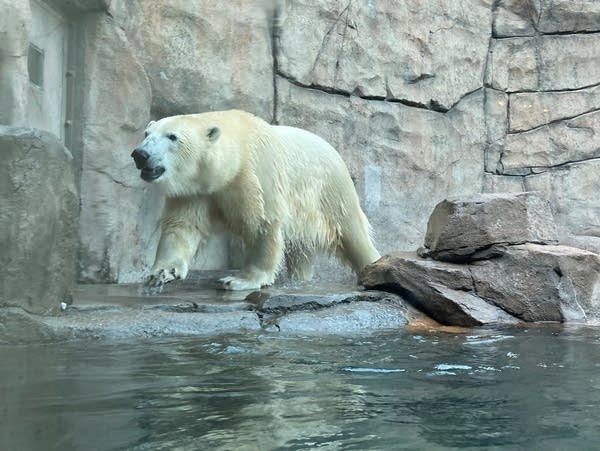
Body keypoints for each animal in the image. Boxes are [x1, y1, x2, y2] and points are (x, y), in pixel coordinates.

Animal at [132, 111, 380, 292]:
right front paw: (161, 273)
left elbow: (263, 224)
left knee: (352, 233)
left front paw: (238, 280)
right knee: (301, 251)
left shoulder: (258, 173)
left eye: (172, 136)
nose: (140, 154)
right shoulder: (194, 190)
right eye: (146, 133)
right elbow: (182, 226)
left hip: (330, 190)